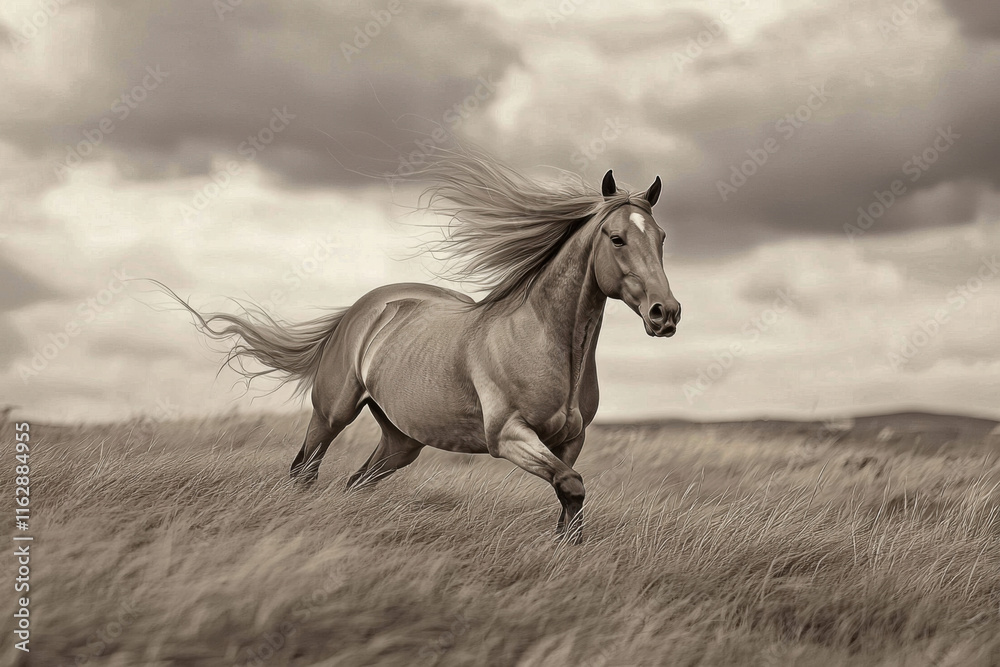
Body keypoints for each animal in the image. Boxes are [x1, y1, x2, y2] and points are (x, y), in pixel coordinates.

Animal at [165, 150, 681, 541]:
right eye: (616, 238)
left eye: (661, 237)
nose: (666, 314)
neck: (544, 342)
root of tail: (361, 310)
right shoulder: (508, 436)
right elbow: (572, 487)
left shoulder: (571, 441)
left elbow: (569, 498)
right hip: (332, 413)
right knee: (305, 470)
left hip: (402, 439)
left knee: (355, 482)